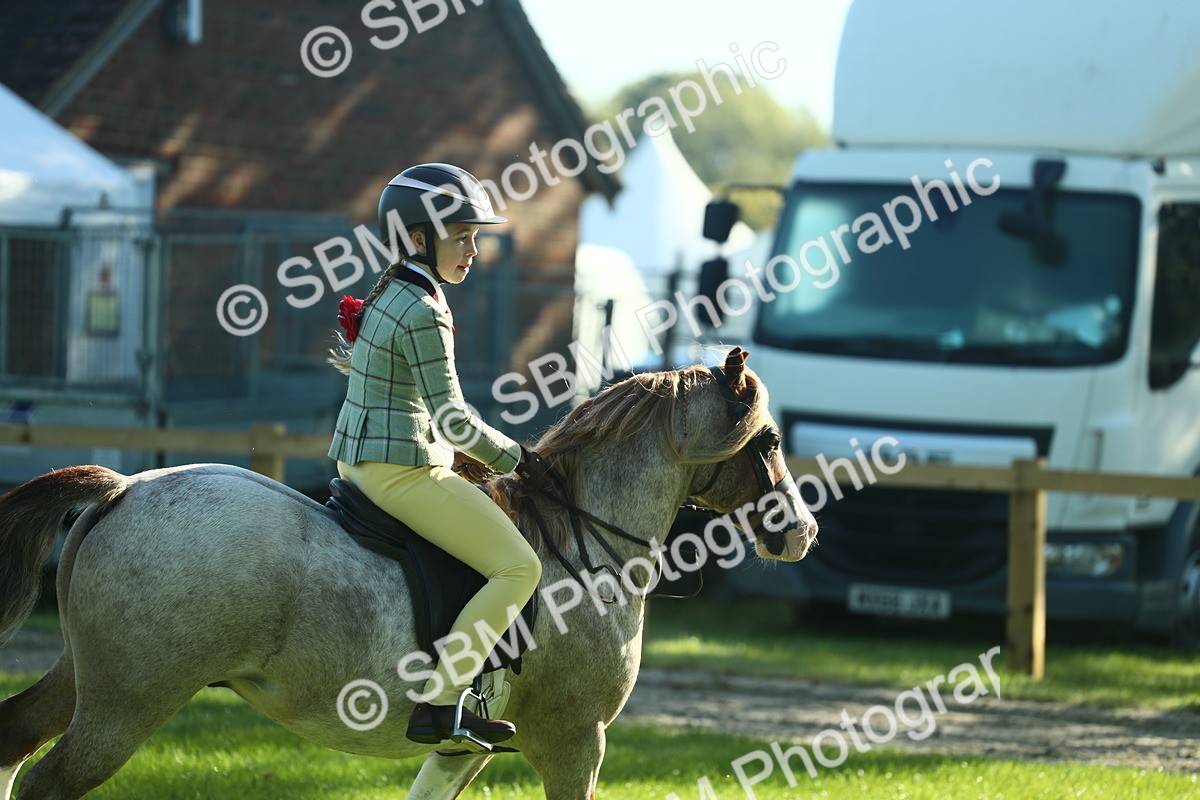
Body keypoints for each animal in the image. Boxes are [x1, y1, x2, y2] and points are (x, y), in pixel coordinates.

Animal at [0, 347, 817, 800]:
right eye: (771, 440)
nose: (803, 532)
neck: (586, 546)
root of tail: (124, 488)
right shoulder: (575, 741)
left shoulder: (461, 750)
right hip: (130, 699)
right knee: (47, 779)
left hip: (87, 677)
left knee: (14, 741)